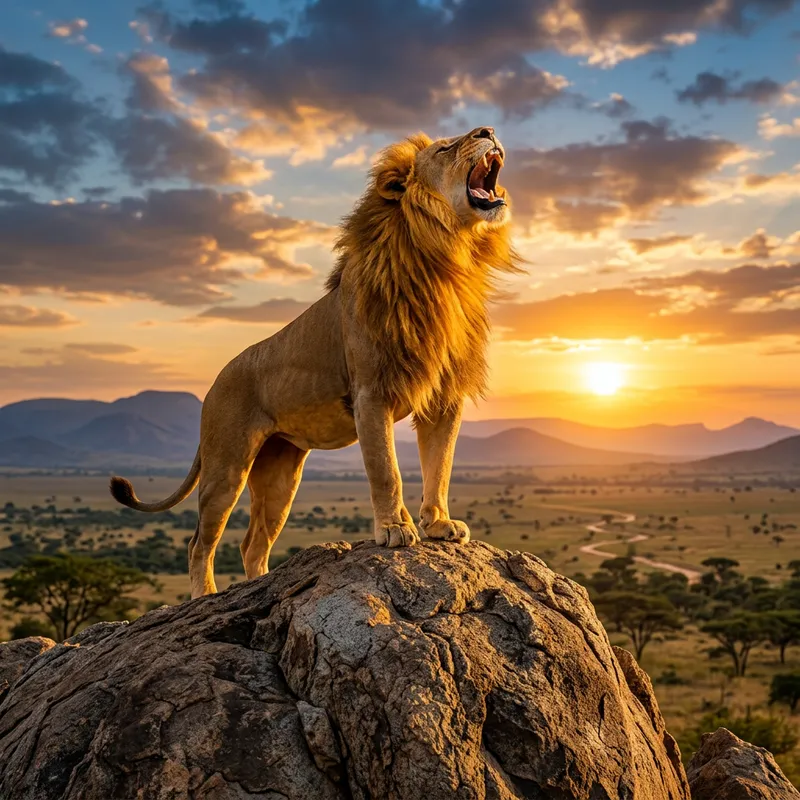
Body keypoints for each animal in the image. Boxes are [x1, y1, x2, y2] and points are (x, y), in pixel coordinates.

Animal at [110, 126, 521, 598]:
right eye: (446, 148)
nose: (488, 130)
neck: (448, 260)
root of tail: (213, 384)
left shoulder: (444, 397)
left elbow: (441, 467)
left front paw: (438, 524)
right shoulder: (371, 393)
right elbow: (386, 470)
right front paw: (394, 529)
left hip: (281, 476)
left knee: (253, 543)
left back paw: (262, 586)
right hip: (225, 466)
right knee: (200, 541)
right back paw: (206, 595)